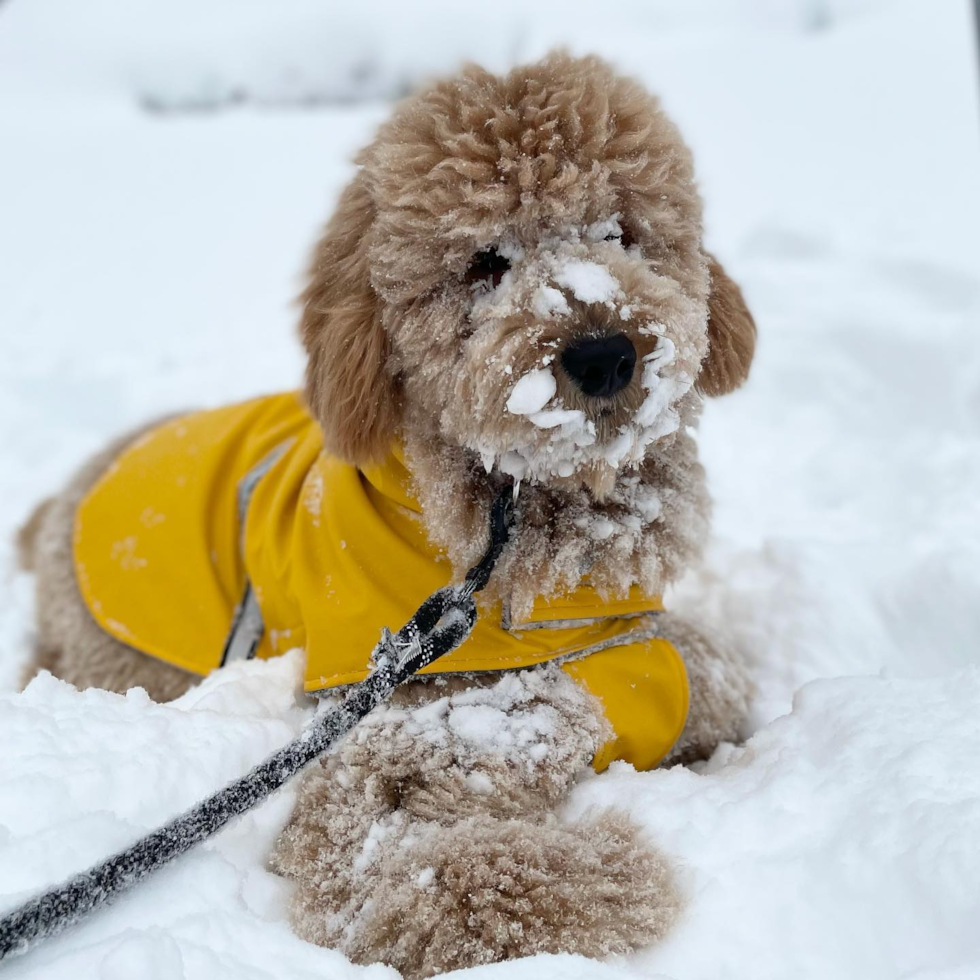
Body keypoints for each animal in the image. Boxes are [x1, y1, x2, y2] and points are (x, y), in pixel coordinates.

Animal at [17, 55, 756, 980]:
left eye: (620, 232)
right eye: (484, 261)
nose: (604, 354)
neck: (511, 505)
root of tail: (66, 498)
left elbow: (696, 665)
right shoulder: (366, 738)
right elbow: (423, 870)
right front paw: (603, 859)